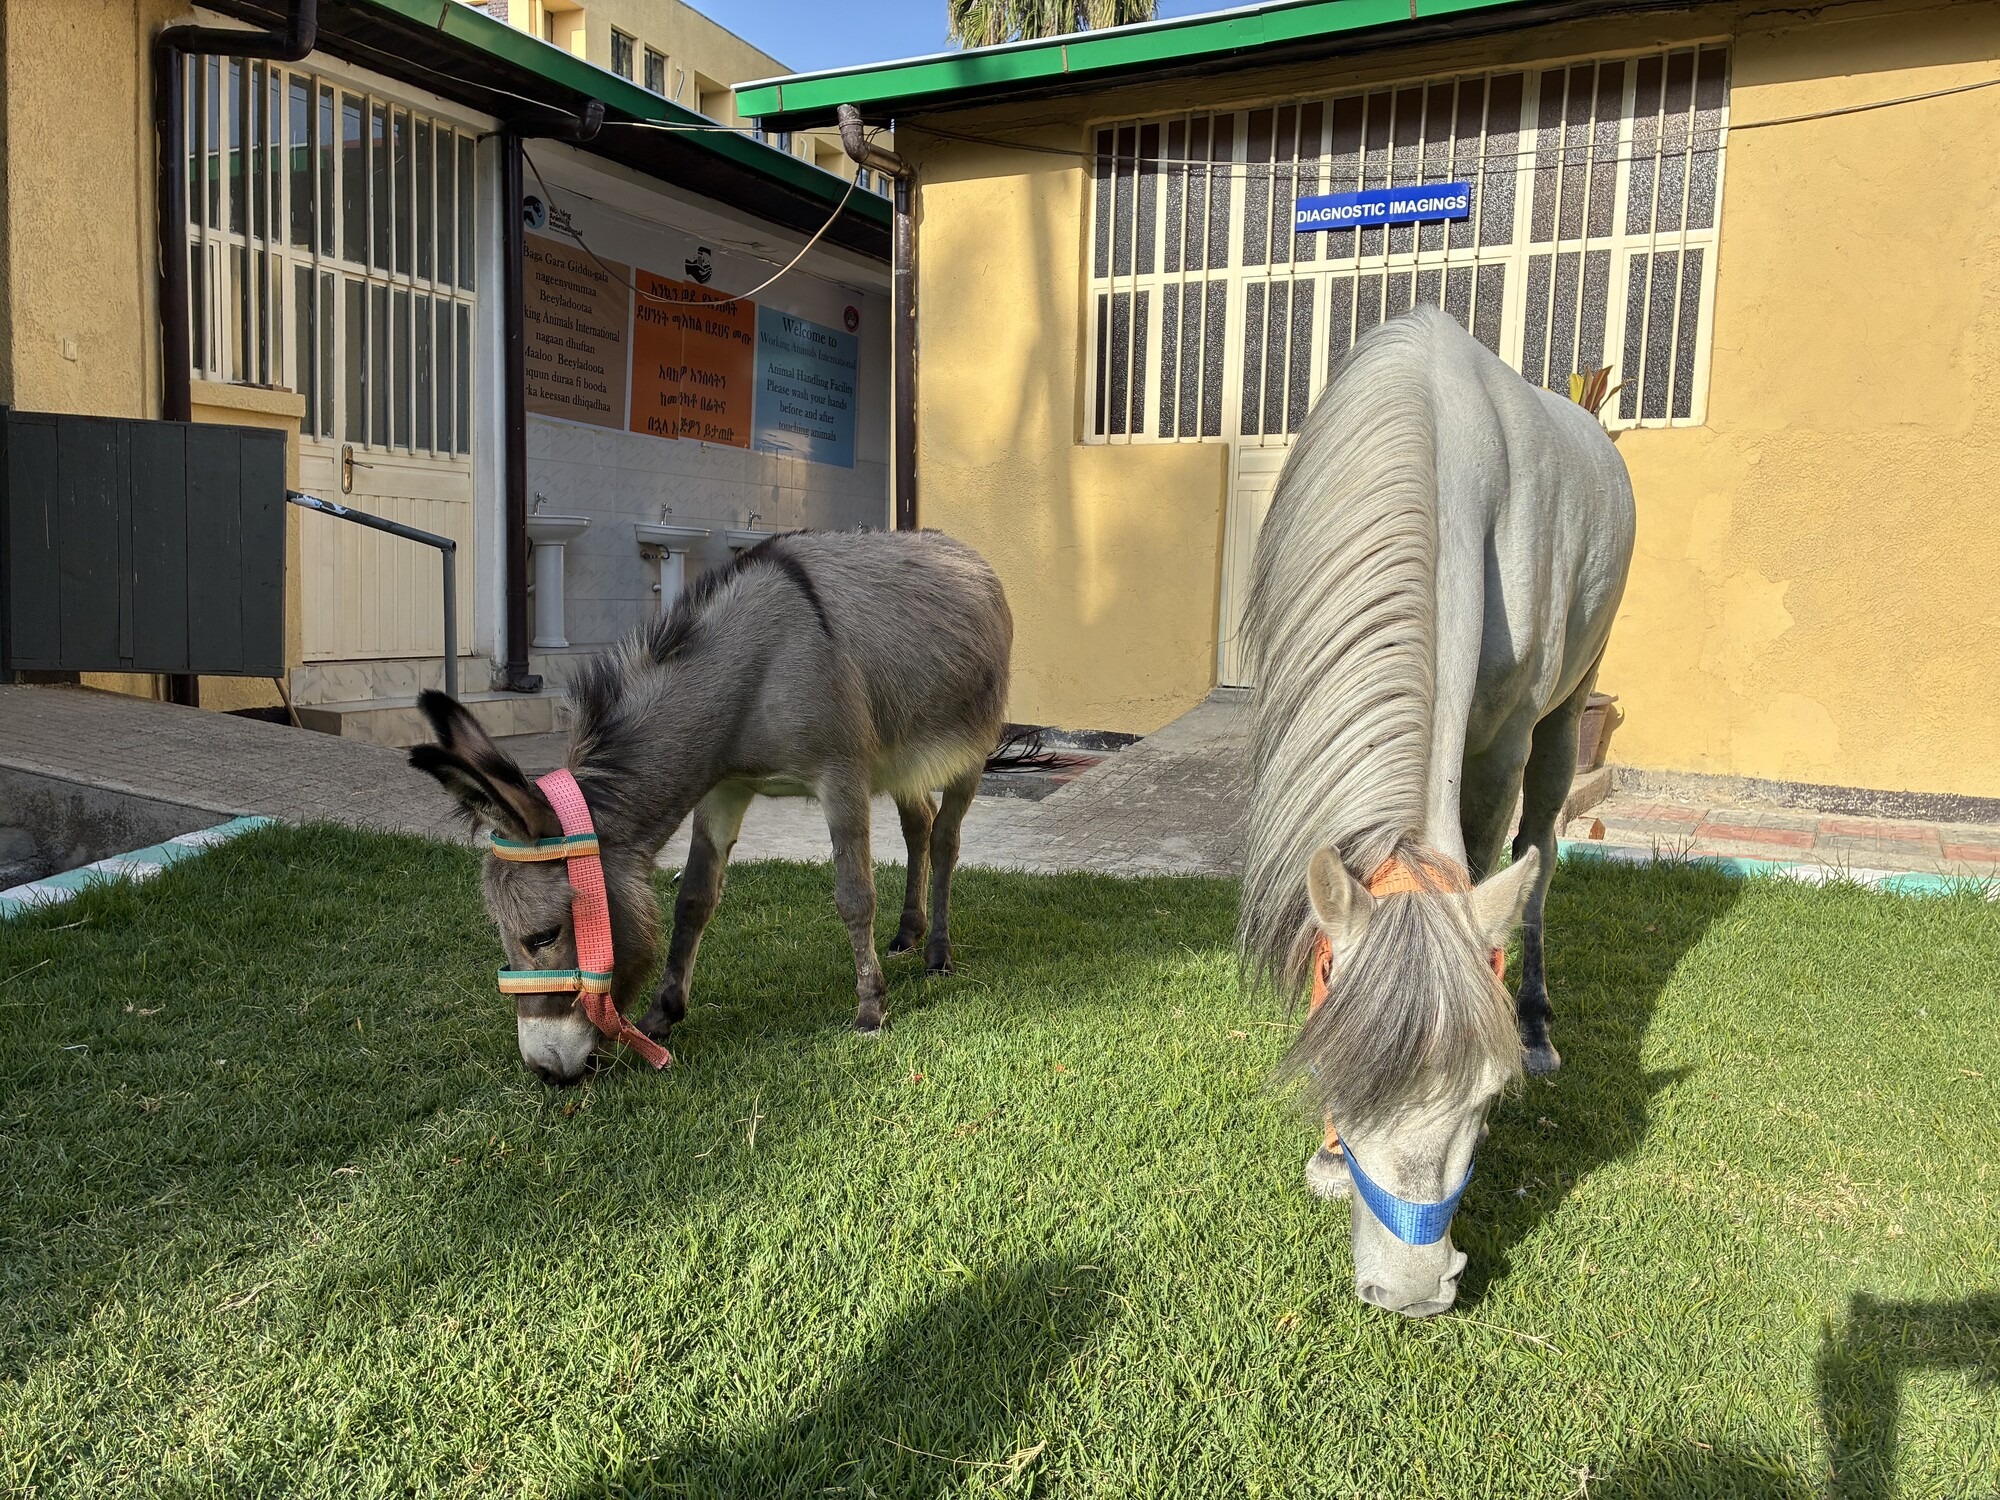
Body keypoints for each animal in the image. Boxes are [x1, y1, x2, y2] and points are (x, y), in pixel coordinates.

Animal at [411, 529, 1013, 1086]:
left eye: (541, 937)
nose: (546, 1072)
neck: (752, 677)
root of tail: (966, 553)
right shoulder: (724, 788)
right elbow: (694, 899)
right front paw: (663, 1013)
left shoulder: (841, 777)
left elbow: (853, 898)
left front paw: (870, 1008)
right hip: (901, 761)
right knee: (918, 825)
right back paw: (908, 935)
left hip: (970, 750)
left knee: (945, 839)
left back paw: (937, 953)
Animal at [1239, 304, 1635, 1318]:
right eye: (1336, 1069)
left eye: (1487, 1098)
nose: (1413, 1292)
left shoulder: (1499, 745)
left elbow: (1491, 862)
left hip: (1569, 709)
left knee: (1540, 852)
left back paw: (1538, 1021)